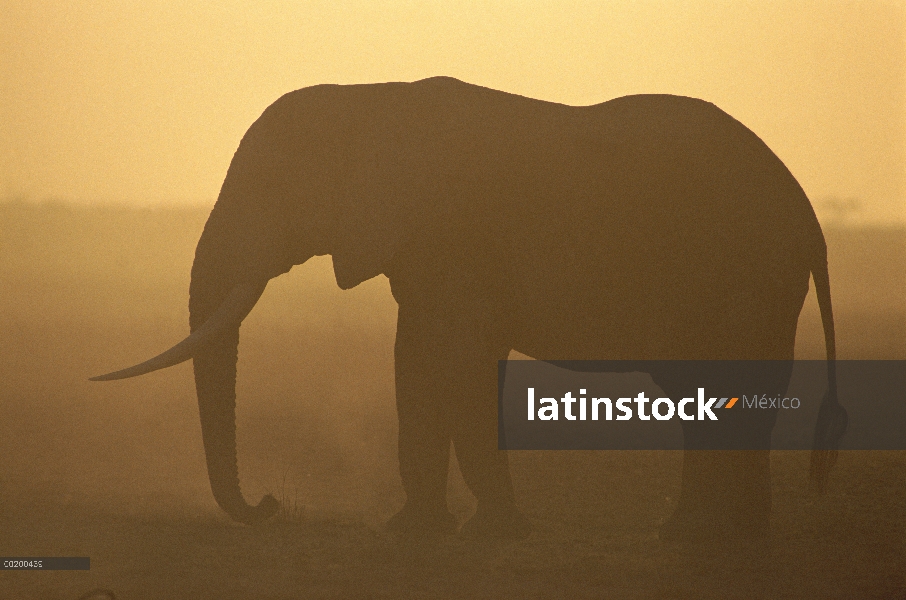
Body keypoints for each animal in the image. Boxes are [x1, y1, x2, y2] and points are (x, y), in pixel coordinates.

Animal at [92, 77, 840, 540]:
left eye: (276, 187)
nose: (272, 504)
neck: (369, 98)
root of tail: (807, 209)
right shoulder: (419, 253)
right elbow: (415, 359)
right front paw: (413, 533)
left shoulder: (453, 241)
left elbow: (461, 360)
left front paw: (493, 533)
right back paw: (721, 535)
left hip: (743, 276)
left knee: (718, 389)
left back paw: (696, 536)